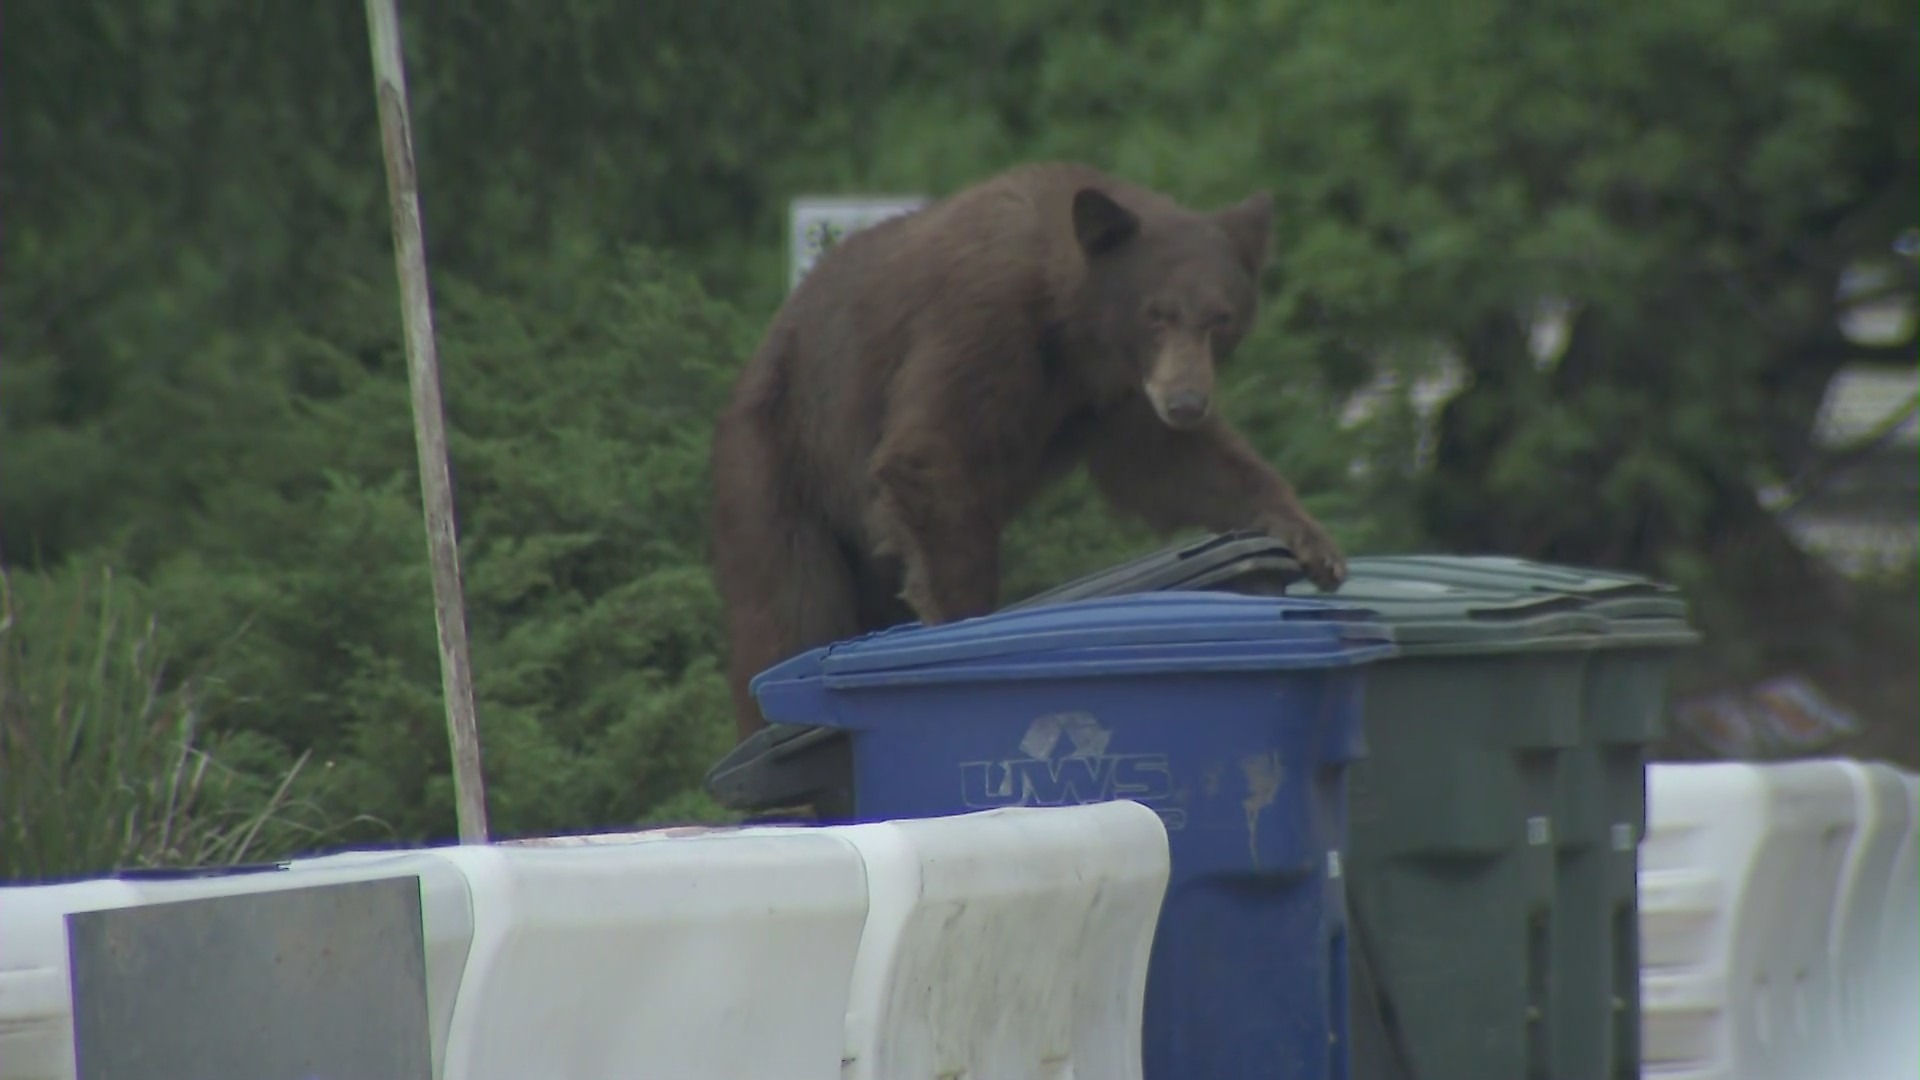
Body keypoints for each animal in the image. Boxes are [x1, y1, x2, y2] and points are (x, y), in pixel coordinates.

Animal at [709, 162, 1347, 741]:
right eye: (1156, 313)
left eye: (1220, 319)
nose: (1188, 402)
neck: (1071, 323)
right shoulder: (980, 323)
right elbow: (933, 449)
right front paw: (961, 623)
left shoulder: (1115, 393)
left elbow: (1167, 463)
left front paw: (1309, 538)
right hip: (779, 465)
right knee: (788, 608)